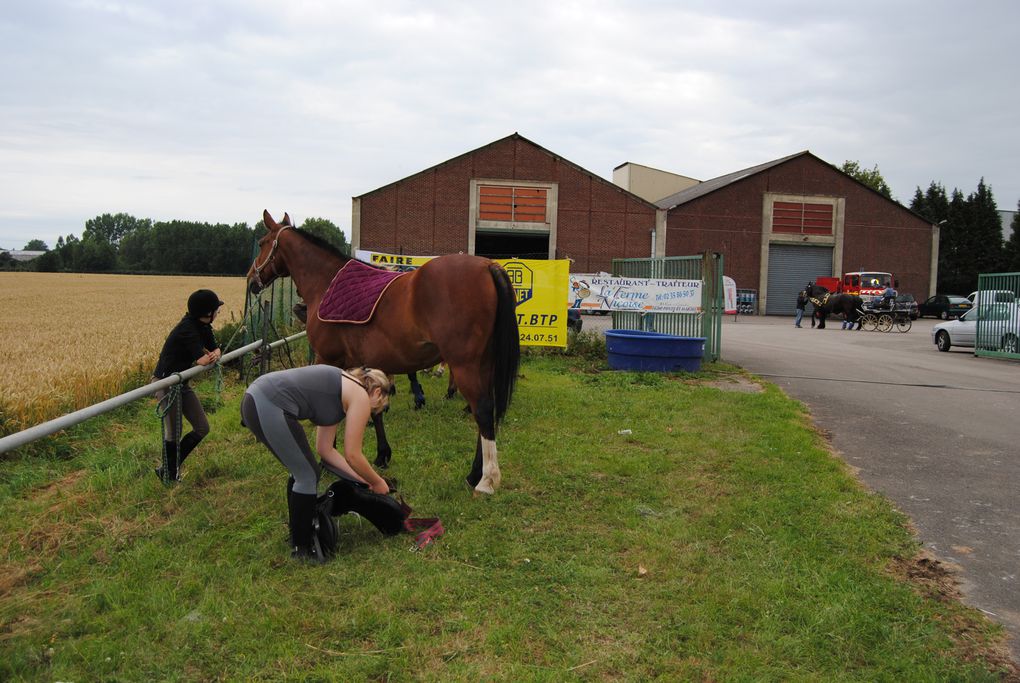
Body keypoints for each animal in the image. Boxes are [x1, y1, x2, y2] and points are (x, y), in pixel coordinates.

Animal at [244, 211, 518, 495]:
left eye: (263, 242)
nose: (251, 279)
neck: (326, 282)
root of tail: (488, 267)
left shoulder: (329, 359)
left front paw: (327, 460)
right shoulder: (365, 362)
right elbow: (373, 408)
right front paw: (382, 454)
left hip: (465, 364)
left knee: (482, 410)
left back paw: (486, 480)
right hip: (484, 364)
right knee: (484, 410)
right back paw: (474, 474)